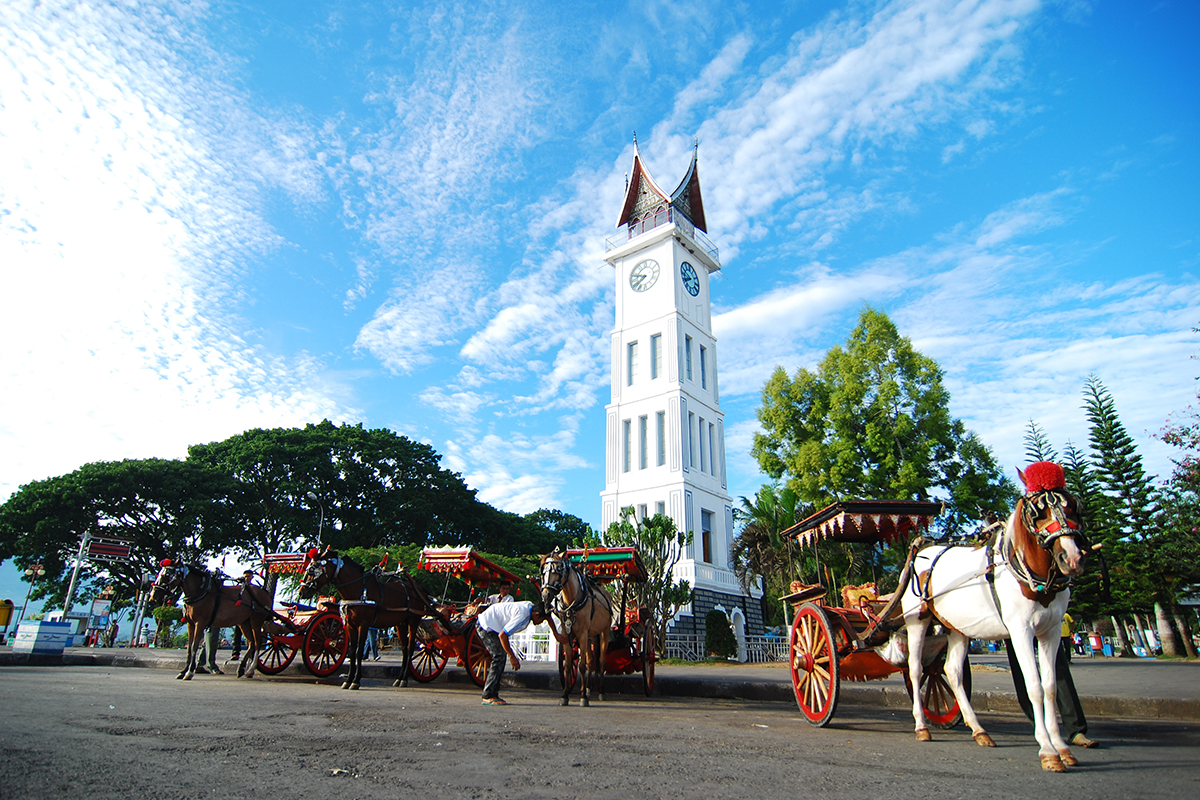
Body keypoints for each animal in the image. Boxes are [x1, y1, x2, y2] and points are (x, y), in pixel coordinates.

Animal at [297, 551, 434, 690]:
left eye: (312, 571)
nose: (301, 592)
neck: (358, 590)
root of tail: (418, 589)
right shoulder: (350, 625)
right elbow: (352, 651)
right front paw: (348, 680)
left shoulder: (363, 625)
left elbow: (359, 651)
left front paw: (356, 681)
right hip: (400, 623)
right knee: (404, 649)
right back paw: (399, 678)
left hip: (413, 620)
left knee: (410, 648)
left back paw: (404, 678)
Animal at [542, 551, 614, 705]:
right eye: (543, 571)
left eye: (558, 570)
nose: (545, 595)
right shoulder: (567, 634)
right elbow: (569, 665)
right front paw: (565, 695)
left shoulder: (582, 634)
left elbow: (581, 665)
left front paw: (583, 698)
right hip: (591, 635)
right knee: (591, 661)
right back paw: (588, 688)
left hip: (604, 631)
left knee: (601, 661)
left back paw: (600, 691)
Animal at [902, 462, 1089, 767]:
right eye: (1037, 511)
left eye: (1073, 506)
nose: (1071, 559)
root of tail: (922, 551)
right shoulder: (1020, 629)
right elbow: (1034, 687)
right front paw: (1047, 750)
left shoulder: (1051, 630)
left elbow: (1050, 687)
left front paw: (1062, 746)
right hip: (917, 619)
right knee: (916, 669)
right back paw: (921, 726)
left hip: (957, 627)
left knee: (950, 671)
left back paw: (979, 730)